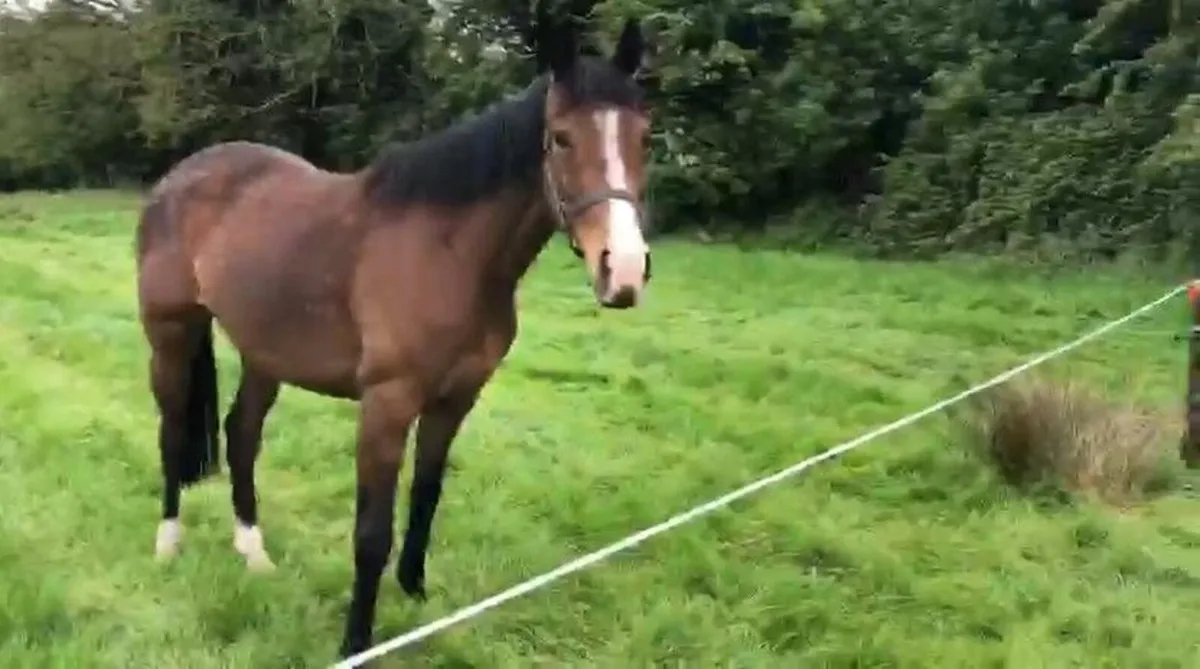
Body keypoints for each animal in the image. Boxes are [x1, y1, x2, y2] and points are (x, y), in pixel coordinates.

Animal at [133, 12, 654, 659]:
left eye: (645, 138)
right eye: (560, 137)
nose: (623, 271)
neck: (450, 252)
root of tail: (178, 178)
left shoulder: (455, 400)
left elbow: (426, 497)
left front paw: (416, 595)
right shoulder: (387, 403)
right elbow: (371, 532)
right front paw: (356, 641)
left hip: (265, 353)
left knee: (241, 435)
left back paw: (254, 555)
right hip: (170, 335)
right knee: (173, 430)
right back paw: (168, 544)